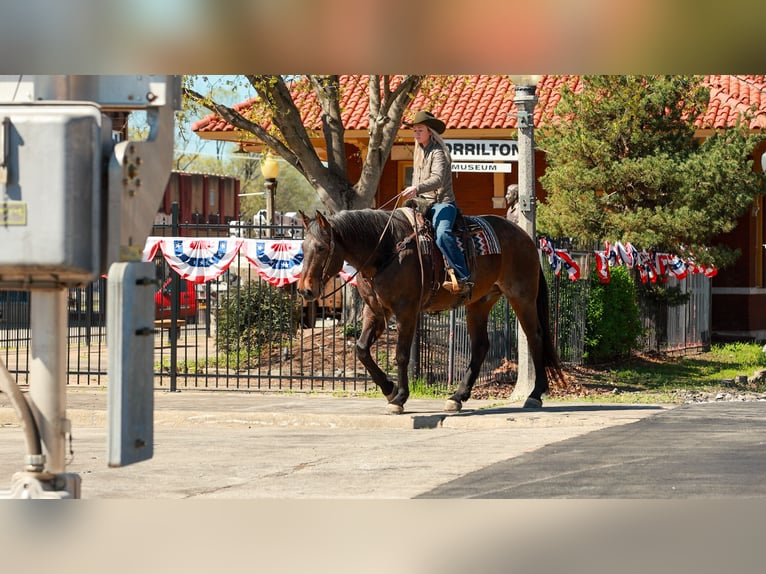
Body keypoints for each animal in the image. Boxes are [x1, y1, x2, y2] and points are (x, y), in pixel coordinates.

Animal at [297, 208, 564, 414]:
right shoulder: (374, 311)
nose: (304, 290)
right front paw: (389, 389)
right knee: (481, 346)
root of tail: (525, 236)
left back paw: (535, 394)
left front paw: (399, 398)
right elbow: (362, 350)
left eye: (321, 248)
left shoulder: (406, 311)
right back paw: (457, 397)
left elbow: (401, 355)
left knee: (535, 337)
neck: (387, 250)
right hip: (479, 303)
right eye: (303, 246)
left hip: (522, 297)